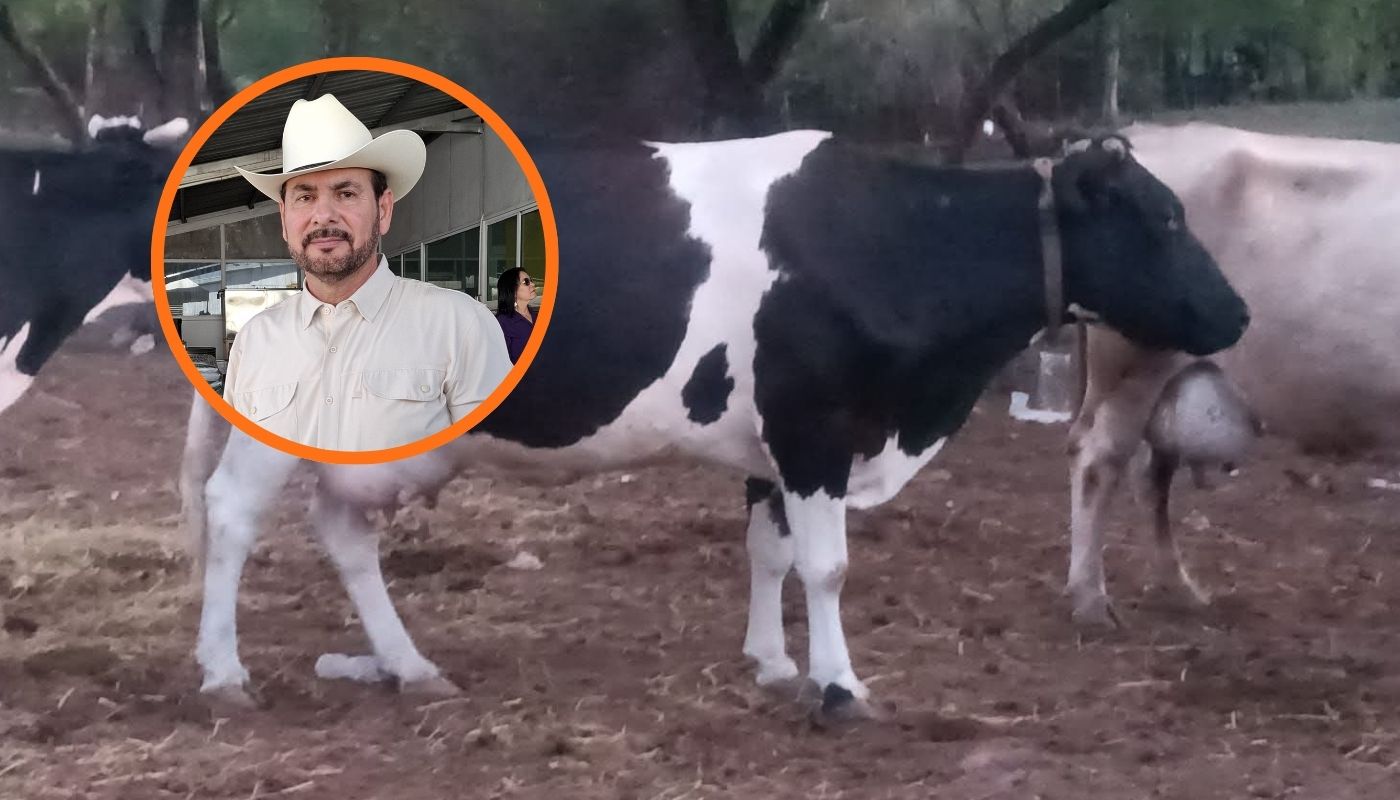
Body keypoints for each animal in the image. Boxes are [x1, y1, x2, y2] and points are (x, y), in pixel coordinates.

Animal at [182, 131, 1248, 718]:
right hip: (275, 420)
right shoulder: (816, 427)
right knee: (231, 517)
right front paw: (839, 687)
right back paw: (225, 674)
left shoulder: (773, 444)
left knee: (343, 531)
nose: (1237, 313)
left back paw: (409, 666)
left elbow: (767, 553)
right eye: (1162, 218)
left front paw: (773, 665)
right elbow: (827, 566)